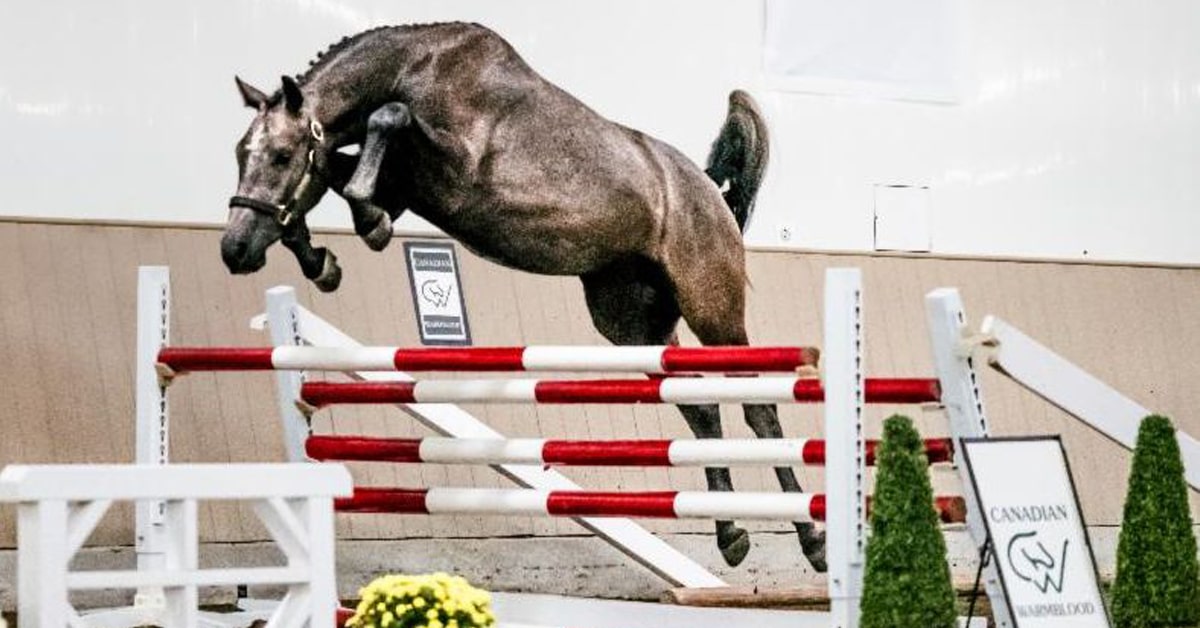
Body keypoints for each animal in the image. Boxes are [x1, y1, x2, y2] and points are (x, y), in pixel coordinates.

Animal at [221, 22, 826, 571]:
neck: (416, 69)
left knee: (758, 408)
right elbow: (336, 172)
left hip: (713, 308)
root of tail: (708, 191)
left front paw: (362, 224)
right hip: (632, 323)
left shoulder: (454, 166)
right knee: (699, 408)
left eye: (280, 155)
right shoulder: (407, 185)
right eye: (240, 153)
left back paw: (812, 540)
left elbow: (382, 123)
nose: (234, 249)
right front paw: (321, 260)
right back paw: (730, 535)